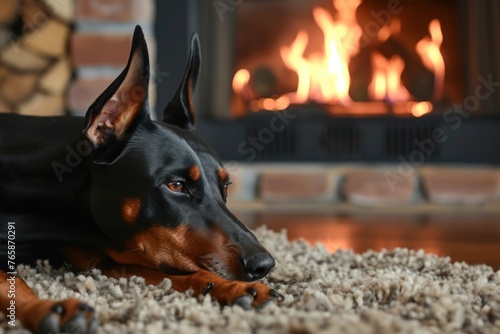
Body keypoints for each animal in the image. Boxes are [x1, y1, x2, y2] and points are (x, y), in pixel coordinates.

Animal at [0, 26, 282, 334]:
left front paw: (235, 288)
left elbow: (166, 271)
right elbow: (10, 279)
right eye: (176, 185)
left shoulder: (99, 256)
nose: (263, 265)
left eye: (225, 186)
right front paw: (51, 308)